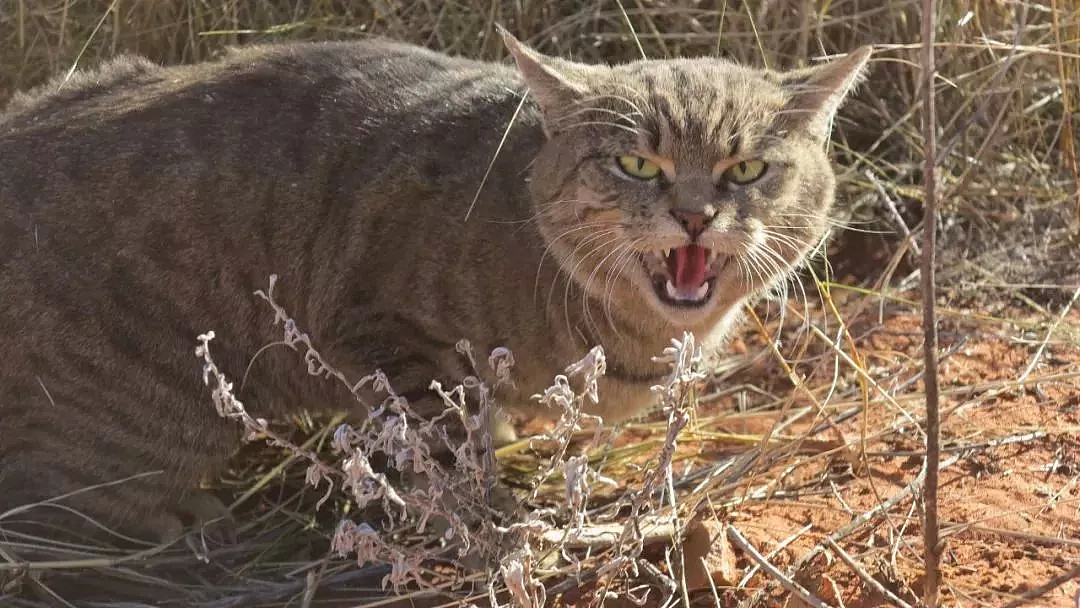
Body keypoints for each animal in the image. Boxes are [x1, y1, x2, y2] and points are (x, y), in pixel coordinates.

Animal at [0, 32, 868, 546]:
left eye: (746, 169)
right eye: (636, 164)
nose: (693, 216)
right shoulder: (382, 335)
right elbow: (449, 447)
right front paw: (494, 513)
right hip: (145, 423)